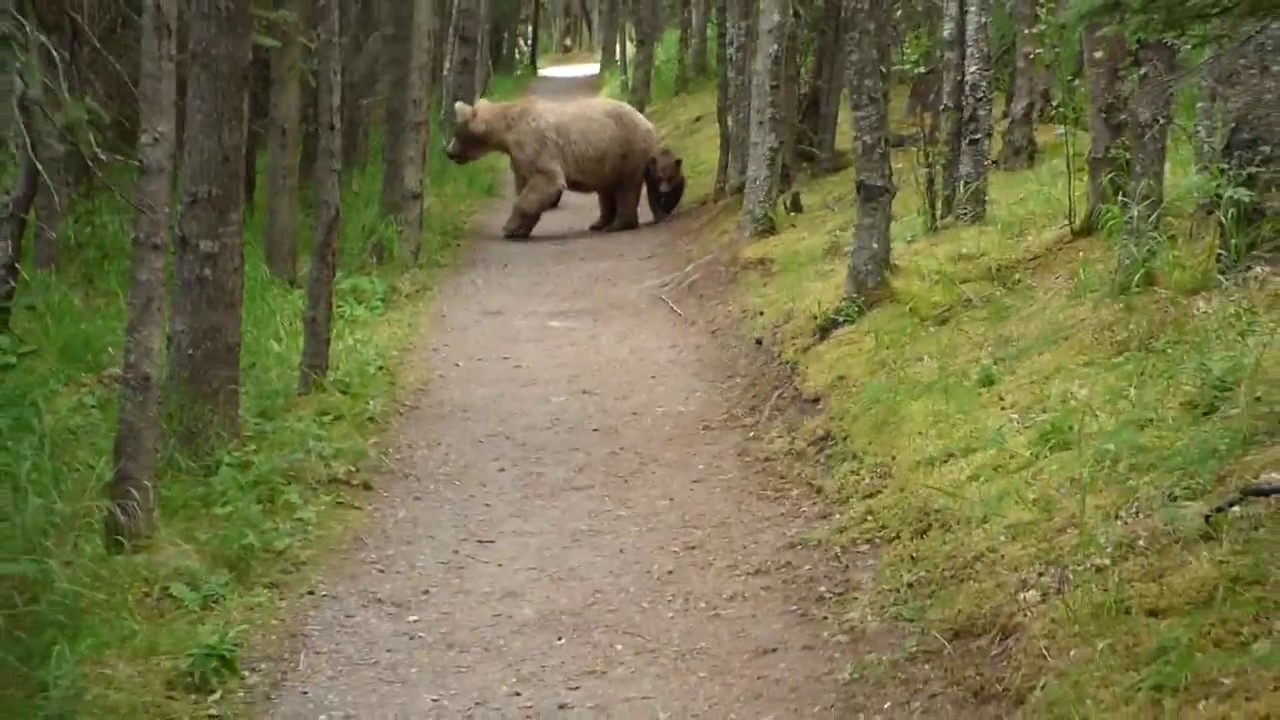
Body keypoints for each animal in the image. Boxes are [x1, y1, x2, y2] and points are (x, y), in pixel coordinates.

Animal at [444, 96, 659, 240]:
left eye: (456, 132)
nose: (449, 152)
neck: (507, 131)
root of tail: (648, 122)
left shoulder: (535, 144)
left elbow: (545, 181)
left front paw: (509, 228)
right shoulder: (519, 157)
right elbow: (525, 184)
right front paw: (521, 229)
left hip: (628, 149)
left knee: (626, 187)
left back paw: (618, 225)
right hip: (610, 159)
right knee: (606, 190)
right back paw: (599, 223)